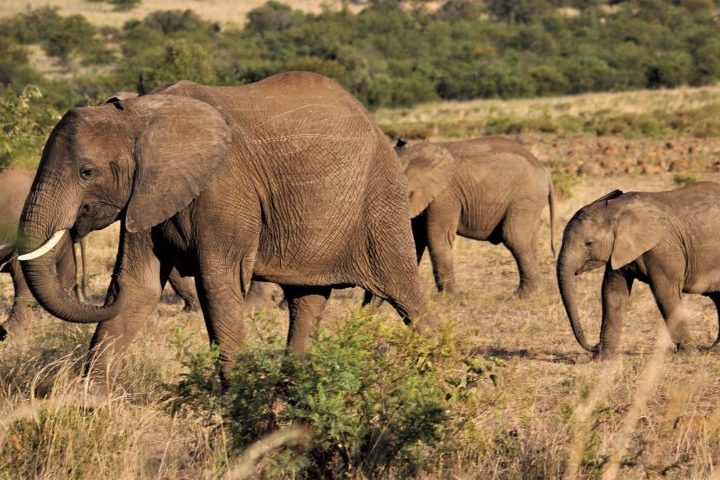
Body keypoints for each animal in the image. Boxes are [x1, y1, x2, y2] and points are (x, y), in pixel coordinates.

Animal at [17, 71, 429, 388]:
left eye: (87, 171)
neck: (141, 115)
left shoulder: (223, 188)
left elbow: (218, 282)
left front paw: (235, 405)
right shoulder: (146, 194)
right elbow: (137, 287)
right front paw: (87, 402)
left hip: (380, 202)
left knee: (408, 295)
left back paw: (440, 377)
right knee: (306, 301)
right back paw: (291, 391)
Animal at [395, 137, 555, 298]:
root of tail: (545, 172)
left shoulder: (445, 194)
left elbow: (437, 236)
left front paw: (447, 298)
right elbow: (415, 238)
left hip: (525, 198)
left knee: (514, 237)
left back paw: (521, 297)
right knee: (529, 242)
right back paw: (535, 293)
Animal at [557, 183, 720, 358]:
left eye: (589, 243)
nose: (594, 346)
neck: (616, 209)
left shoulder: (662, 248)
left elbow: (665, 293)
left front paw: (687, 354)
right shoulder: (619, 249)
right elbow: (612, 292)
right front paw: (604, 358)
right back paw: (714, 350)